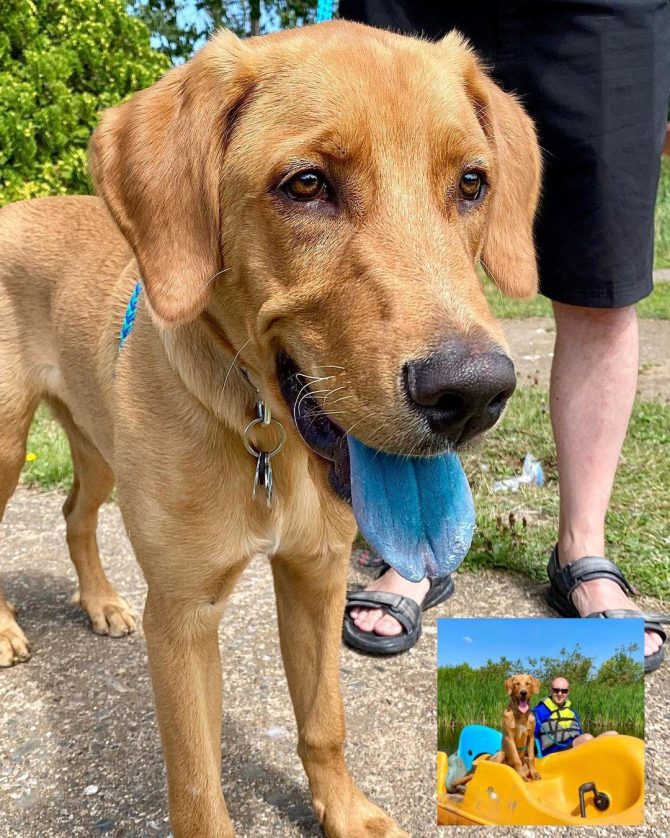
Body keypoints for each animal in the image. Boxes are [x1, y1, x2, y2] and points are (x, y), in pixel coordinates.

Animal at [0, 19, 540, 838]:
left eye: (473, 183)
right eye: (307, 185)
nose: (474, 393)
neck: (267, 436)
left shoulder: (317, 574)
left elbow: (323, 722)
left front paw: (346, 811)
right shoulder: (183, 617)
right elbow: (198, 792)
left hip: (96, 450)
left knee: (73, 514)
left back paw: (100, 602)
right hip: (6, 445)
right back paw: (5, 629)